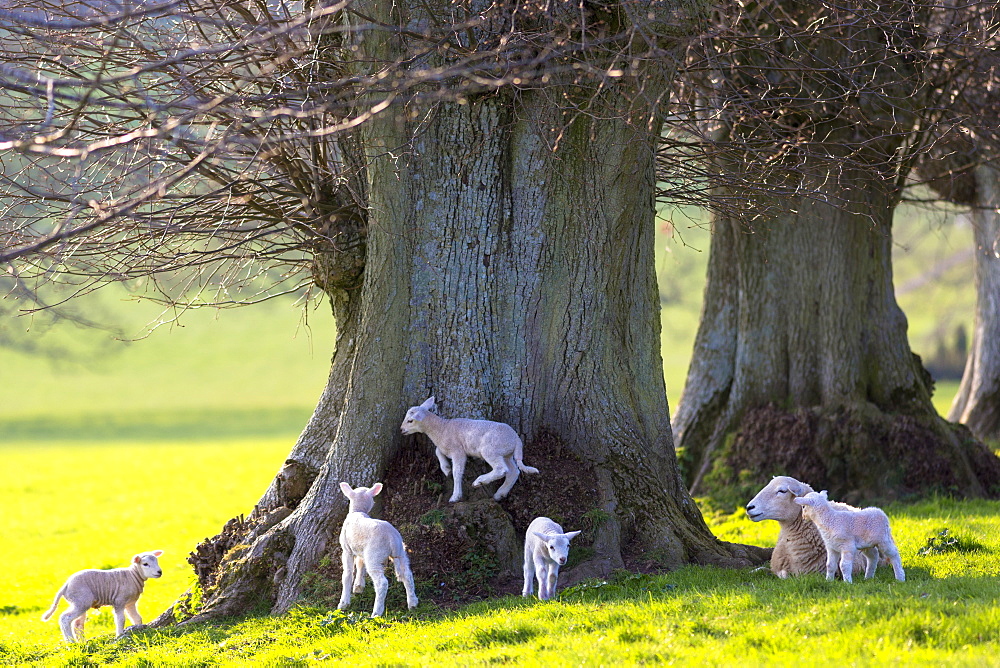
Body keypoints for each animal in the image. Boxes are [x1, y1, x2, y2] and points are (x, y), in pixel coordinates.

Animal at [334, 480, 416, 616]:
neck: (358, 511)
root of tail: (392, 538)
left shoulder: (347, 550)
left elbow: (347, 574)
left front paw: (343, 603)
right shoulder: (361, 550)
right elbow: (360, 565)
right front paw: (358, 587)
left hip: (374, 556)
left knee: (382, 583)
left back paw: (376, 612)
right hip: (401, 552)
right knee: (408, 575)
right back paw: (413, 603)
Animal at [398, 396, 540, 500]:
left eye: (410, 420)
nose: (401, 430)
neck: (442, 428)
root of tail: (516, 440)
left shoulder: (458, 451)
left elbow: (457, 472)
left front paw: (455, 496)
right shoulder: (446, 446)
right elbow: (438, 451)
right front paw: (446, 469)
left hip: (491, 449)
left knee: (501, 469)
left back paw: (480, 482)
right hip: (506, 453)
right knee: (513, 472)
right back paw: (499, 494)